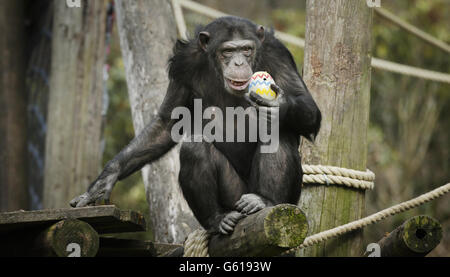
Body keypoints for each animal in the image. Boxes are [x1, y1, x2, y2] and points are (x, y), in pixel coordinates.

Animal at [70, 16, 322, 234]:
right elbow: (166, 123)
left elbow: (307, 105)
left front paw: (278, 106)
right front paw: (105, 179)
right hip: (233, 197)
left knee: (279, 132)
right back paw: (217, 219)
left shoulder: (278, 54)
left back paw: (264, 201)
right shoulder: (184, 64)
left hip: (288, 199)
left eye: (246, 49)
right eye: (227, 51)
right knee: (195, 147)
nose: (239, 62)